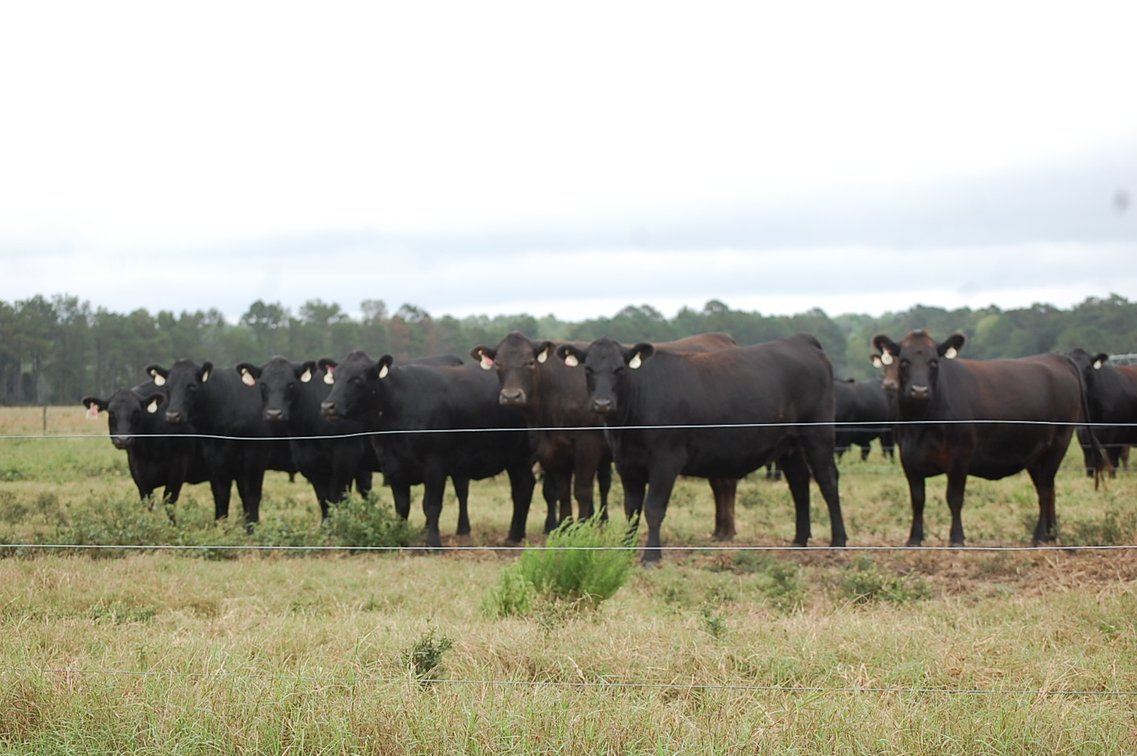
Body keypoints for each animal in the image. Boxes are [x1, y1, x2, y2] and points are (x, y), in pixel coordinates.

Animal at [146, 360, 292, 524]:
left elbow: (251, 498)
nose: (172, 415)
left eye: (192, 386)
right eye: (167, 387)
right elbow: (221, 499)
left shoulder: (255, 460)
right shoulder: (217, 463)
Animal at [318, 351, 536, 547]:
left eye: (357, 379)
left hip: (523, 457)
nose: (328, 406)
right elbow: (402, 506)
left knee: (523, 489)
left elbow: (431, 505)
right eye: (334, 378)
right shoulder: (393, 466)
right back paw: (515, 536)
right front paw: (399, 537)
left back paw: (514, 537)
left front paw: (433, 543)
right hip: (515, 459)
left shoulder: (435, 464)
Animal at [558, 333, 846, 563]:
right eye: (588, 369)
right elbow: (632, 510)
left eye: (620, 369)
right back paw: (799, 540)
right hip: (790, 446)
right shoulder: (627, 464)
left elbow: (653, 508)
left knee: (828, 482)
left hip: (818, 436)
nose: (602, 403)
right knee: (799, 485)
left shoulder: (666, 460)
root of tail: (800, 340)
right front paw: (625, 550)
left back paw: (839, 542)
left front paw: (651, 556)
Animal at [872, 330, 1086, 547]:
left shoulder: (961, 455)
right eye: (904, 361)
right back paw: (1052, 534)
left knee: (1044, 490)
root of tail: (1056, 357)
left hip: (1059, 443)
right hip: (1036, 456)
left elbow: (954, 497)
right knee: (1050, 491)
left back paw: (1040, 536)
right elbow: (917, 499)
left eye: (934, 362)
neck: (920, 424)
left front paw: (957, 538)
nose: (919, 390)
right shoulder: (908, 457)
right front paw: (914, 538)